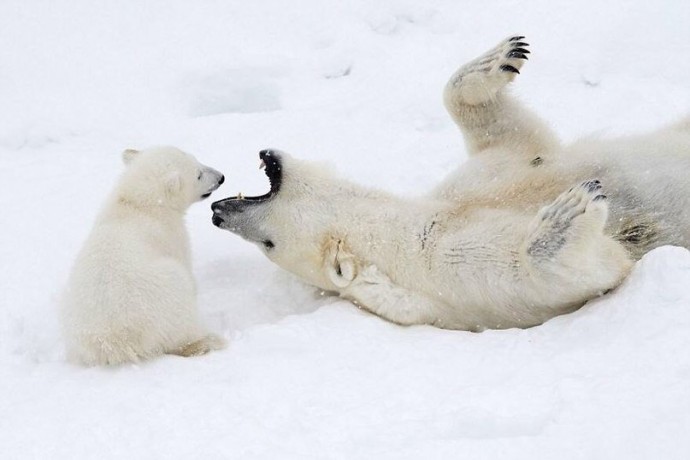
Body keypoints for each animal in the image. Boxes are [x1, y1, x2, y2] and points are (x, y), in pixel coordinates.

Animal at [210, 36, 688, 330]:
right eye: (270, 246)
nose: (217, 212)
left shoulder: (481, 179)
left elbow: (519, 139)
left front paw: (502, 57)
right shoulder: (450, 268)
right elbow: (597, 265)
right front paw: (568, 211)